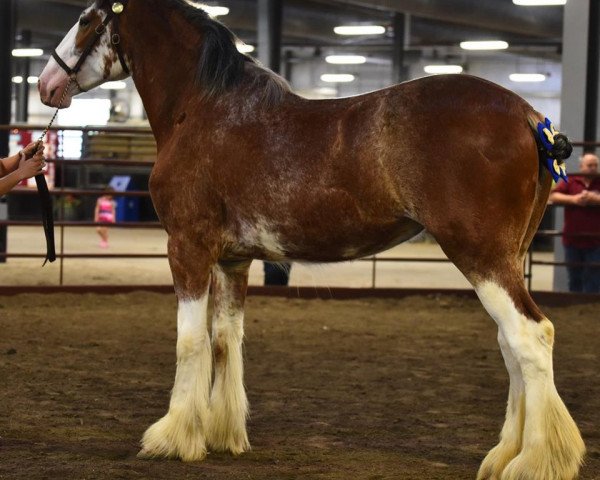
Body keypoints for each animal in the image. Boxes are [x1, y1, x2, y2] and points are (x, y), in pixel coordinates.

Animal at [35, 1, 584, 478]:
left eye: (86, 19)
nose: (46, 83)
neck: (203, 109)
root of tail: (531, 117)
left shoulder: (187, 249)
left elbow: (189, 341)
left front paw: (172, 438)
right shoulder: (233, 261)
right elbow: (225, 339)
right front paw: (222, 434)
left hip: (481, 255)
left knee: (531, 337)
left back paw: (535, 462)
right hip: (505, 258)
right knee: (510, 346)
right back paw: (503, 456)